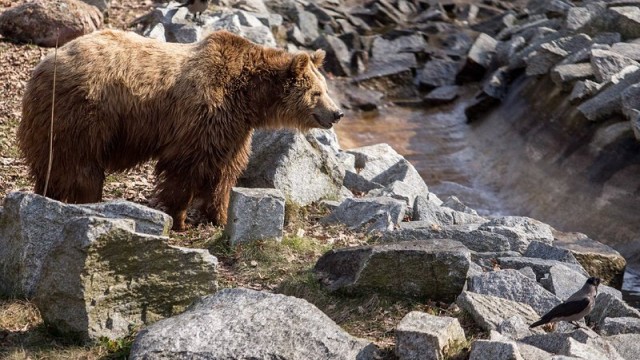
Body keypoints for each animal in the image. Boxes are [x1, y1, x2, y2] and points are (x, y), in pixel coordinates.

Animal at [17, 28, 342, 231]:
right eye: (316, 92)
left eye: (326, 89)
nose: (337, 113)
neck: (249, 97)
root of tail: (45, 63)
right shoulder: (203, 113)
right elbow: (186, 167)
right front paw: (179, 219)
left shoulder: (233, 127)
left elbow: (225, 171)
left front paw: (220, 216)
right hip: (84, 114)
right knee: (80, 167)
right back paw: (85, 202)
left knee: (52, 166)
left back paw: (49, 196)